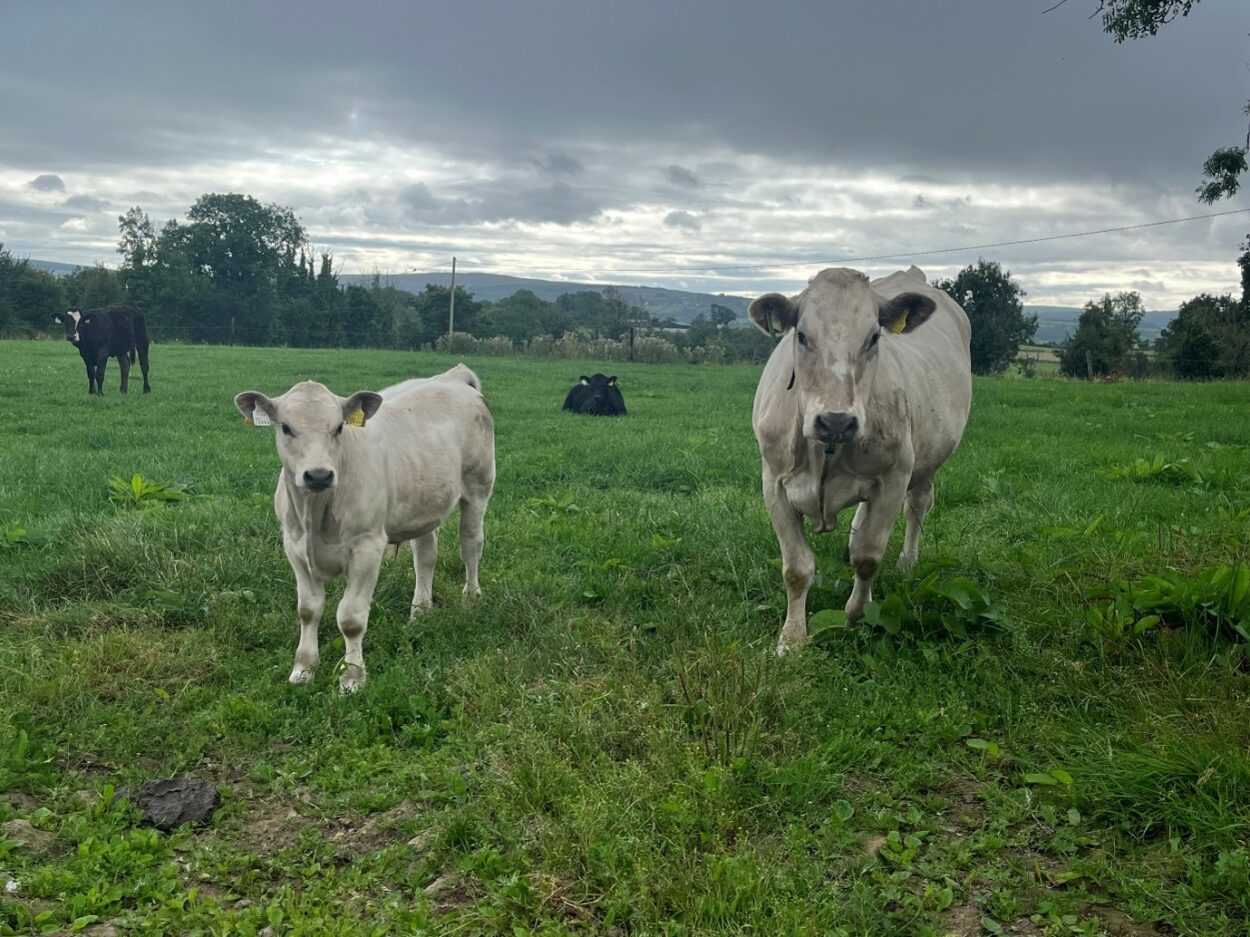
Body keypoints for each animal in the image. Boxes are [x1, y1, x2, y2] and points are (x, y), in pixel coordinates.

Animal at [235, 364, 495, 692]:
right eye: (286, 427)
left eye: (338, 428)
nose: (318, 475)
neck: (315, 513)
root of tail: (453, 377)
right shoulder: (294, 547)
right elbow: (308, 610)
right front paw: (303, 669)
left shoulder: (367, 548)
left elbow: (351, 618)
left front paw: (352, 677)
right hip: (423, 503)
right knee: (425, 555)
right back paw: (420, 612)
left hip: (478, 486)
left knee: (471, 545)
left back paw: (470, 599)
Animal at [750, 266, 971, 655]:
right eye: (802, 335)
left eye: (873, 337)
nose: (836, 421)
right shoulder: (773, 481)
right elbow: (796, 568)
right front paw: (791, 639)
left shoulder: (894, 477)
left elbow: (867, 558)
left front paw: (855, 619)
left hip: (929, 461)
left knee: (917, 506)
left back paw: (907, 561)